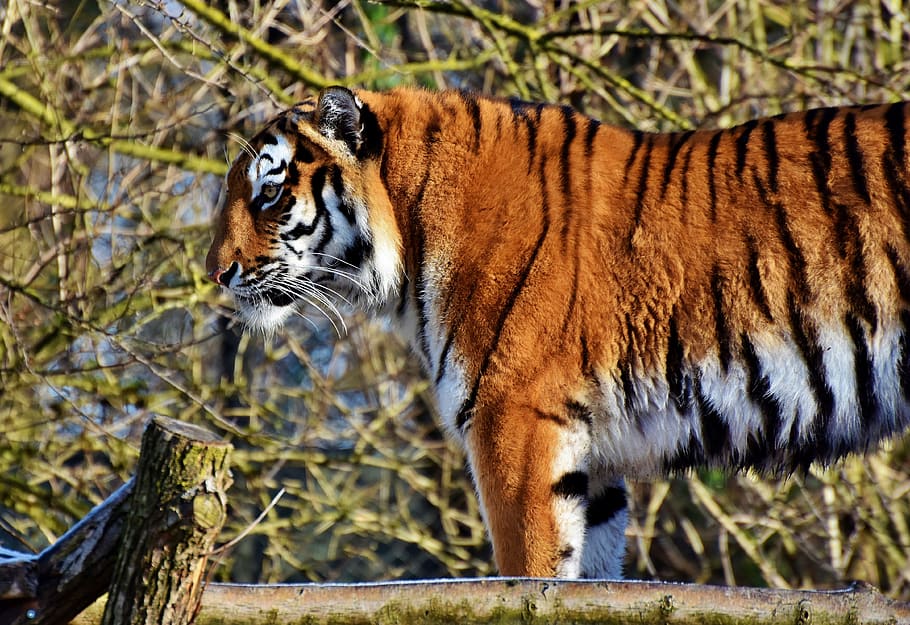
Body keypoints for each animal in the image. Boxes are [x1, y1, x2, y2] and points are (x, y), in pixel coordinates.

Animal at [205, 86, 910, 579]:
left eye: (269, 193)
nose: (217, 273)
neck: (410, 227)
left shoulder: (514, 420)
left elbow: (529, 573)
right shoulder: (591, 460)